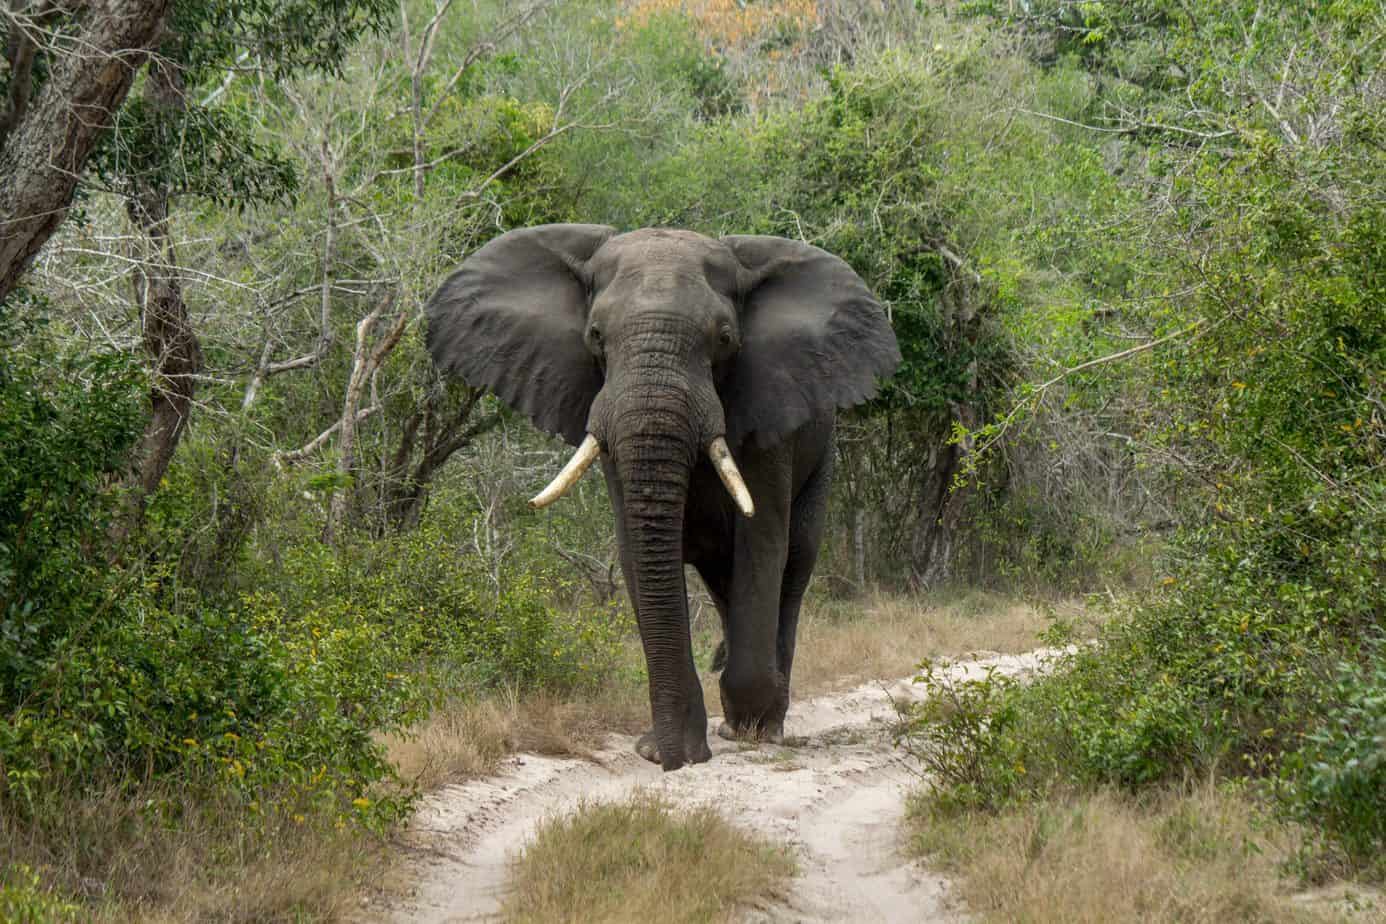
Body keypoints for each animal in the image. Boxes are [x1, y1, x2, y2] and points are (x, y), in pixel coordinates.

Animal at [421, 225, 898, 775]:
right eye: (595, 336)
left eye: (725, 339)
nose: (672, 765)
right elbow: (635, 547)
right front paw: (667, 749)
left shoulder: (769, 417)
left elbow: (762, 542)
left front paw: (747, 727)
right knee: (723, 582)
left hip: (821, 460)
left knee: (793, 566)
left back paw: (761, 724)